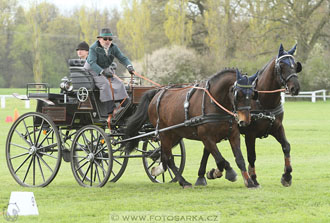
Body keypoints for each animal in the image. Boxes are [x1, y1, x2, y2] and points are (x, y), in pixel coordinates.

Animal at [125, 69, 260, 187]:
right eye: (238, 94)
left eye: (252, 94)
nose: (245, 121)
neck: (214, 104)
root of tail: (157, 93)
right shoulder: (206, 137)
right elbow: (220, 160)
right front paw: (225, 173)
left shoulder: (233, 135)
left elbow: (239, 159)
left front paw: (249, 182)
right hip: (165, 133)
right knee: (169, 158)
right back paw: (183, 182)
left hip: (175, 134)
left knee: (163, 155)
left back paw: (160, 171)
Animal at [199, 43, 302, 186]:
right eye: (281, 65)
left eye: (295, 65)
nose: (295, 88)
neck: (263, 101)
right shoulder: (250, 134)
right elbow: (251, 156)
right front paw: (253, 178)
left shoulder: (277, 128)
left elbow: (286, 147)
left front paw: (287, 175)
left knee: (207, 148)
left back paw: (208, 174)